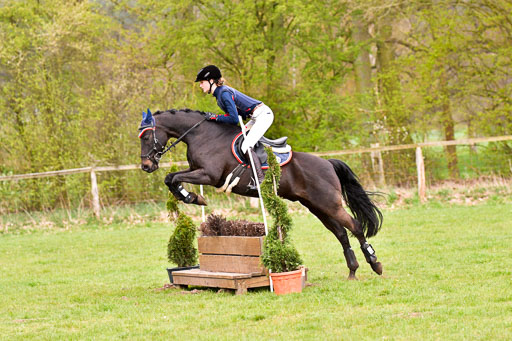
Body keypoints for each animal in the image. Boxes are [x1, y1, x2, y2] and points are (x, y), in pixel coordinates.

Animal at [138, 107, 382, 278]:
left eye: (146, 137)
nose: (146, 166)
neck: (201, 134)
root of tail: (328, 163)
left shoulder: (209, 175)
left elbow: (174, 178)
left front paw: (192, 197)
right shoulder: (195, 170)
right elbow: (170, 178)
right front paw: (192, 197)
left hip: (329, 204)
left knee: (355, 226)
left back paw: (375, 263)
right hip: (316, 206)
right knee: (341, 233)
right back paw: (353, 270)